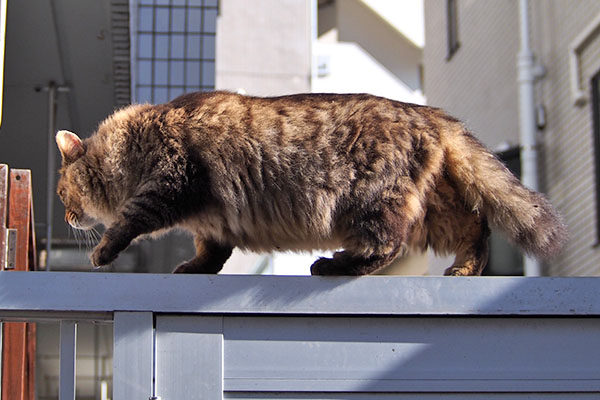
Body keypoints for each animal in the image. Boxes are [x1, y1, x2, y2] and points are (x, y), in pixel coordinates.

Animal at [55, 92, 568, 276]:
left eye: (61, 193)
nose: (65, 215)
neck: (133, 142)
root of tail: (428, 112)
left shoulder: (171, 182)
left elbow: (127, 222)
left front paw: (102, 251)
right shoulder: (211, 222)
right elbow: (210, 253)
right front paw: (194, 268)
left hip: (371, 204)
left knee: (386, 247)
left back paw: (333, 264)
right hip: (433, 211)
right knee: (476, 228)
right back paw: (465, 269)